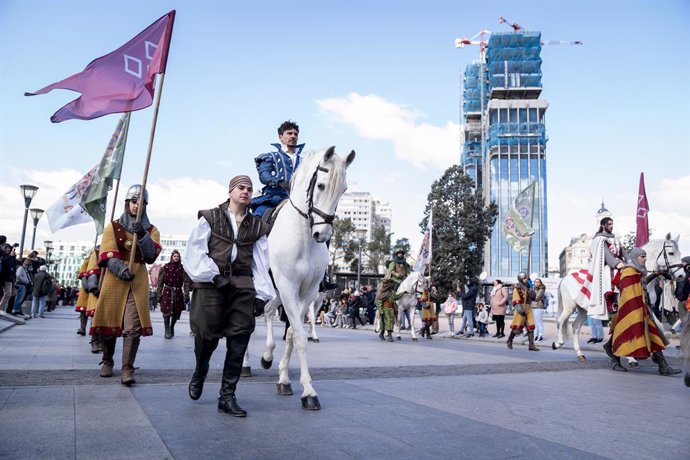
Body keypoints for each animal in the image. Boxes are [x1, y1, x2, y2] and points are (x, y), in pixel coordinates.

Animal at [256, 146, 354, 408]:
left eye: (344, 190)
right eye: (320, 185)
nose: (322, 233)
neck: (303, 238)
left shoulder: (307, 292)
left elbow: (292, 332)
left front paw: (285, 379)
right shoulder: (289, 287)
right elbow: (299, 336)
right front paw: (308, 392)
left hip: (278, 292)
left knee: (268, 311)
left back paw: (267, 356)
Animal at [552, 235, 680, 362]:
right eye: (671, 253)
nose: (680, 275)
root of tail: (565, 278)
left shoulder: (648, 307)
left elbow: (658, 327)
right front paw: (631, 357)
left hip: (583, 309)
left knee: (576, 326)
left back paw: (580, 353)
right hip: (570, 307)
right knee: (560, 321)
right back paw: (558, 343)